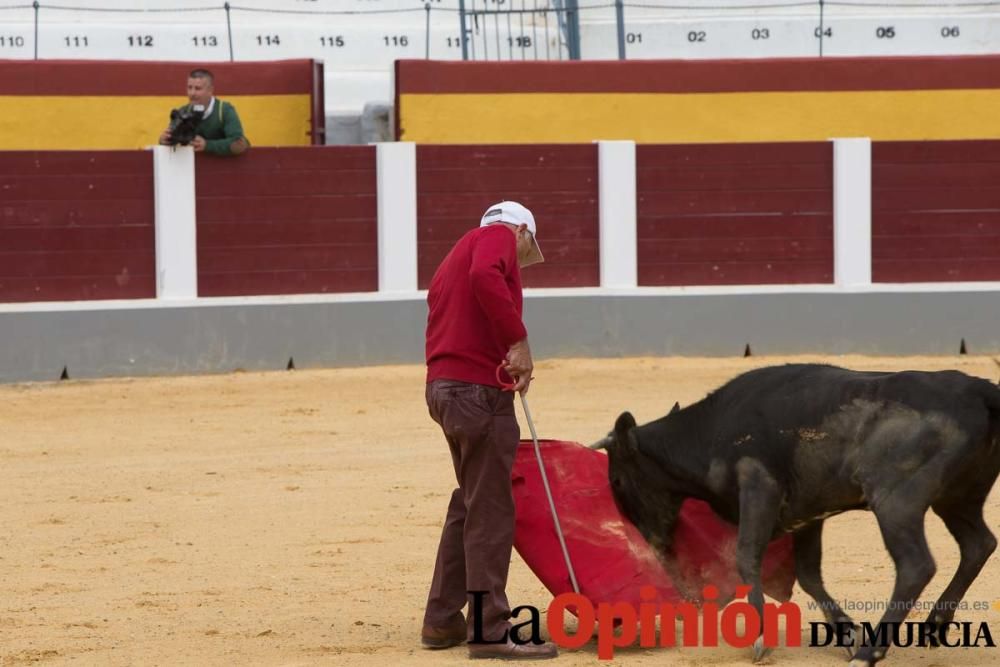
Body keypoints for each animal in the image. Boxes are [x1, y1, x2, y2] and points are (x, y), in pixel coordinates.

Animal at [592, 366, 1000, 667]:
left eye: (616, 479)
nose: (653, 543)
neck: (709, 434)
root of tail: (978, 390)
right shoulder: (809, 515)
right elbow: (808, 574)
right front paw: (846, 632)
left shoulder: (759, 486)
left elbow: (746, 556)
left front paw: (760, 637)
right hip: (958, 499)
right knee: (979, 544)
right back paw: (933, 625)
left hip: (895, 501)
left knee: (916, 565)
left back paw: (871, 652)